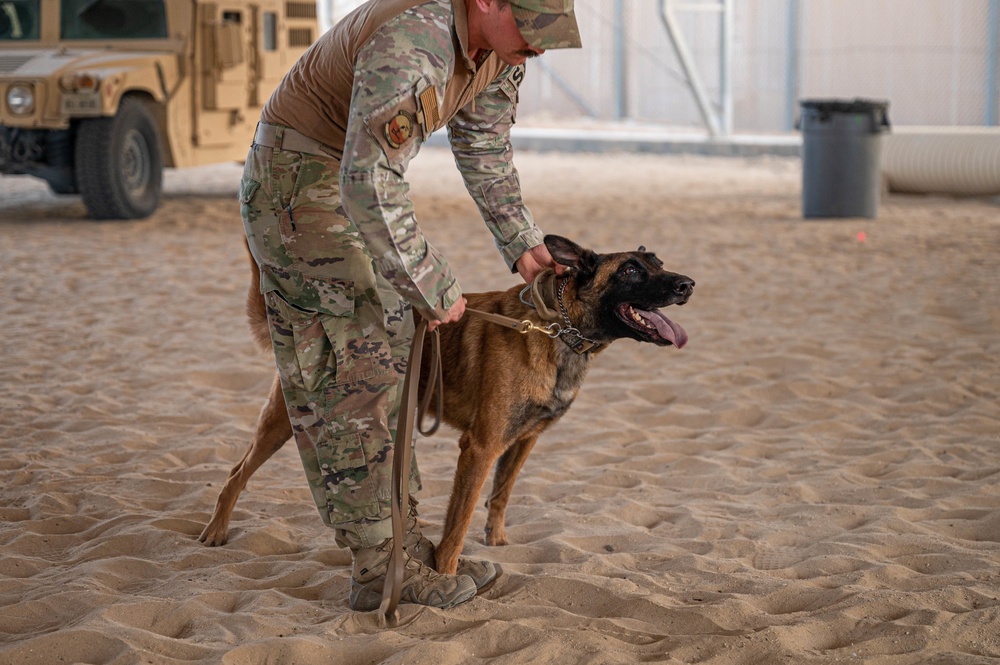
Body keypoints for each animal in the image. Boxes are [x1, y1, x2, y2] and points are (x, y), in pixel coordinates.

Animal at [198, 235, 692, 576]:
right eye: (630, 270)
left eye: (659, 264)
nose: (688, 284)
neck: (555, 327)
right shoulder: (480, 447)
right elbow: (458, 523)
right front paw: (447, 572)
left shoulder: (523, 441)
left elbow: (501, 493)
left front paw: (496, 539)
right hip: (287, 422)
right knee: (237, 472)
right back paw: (217, 529)